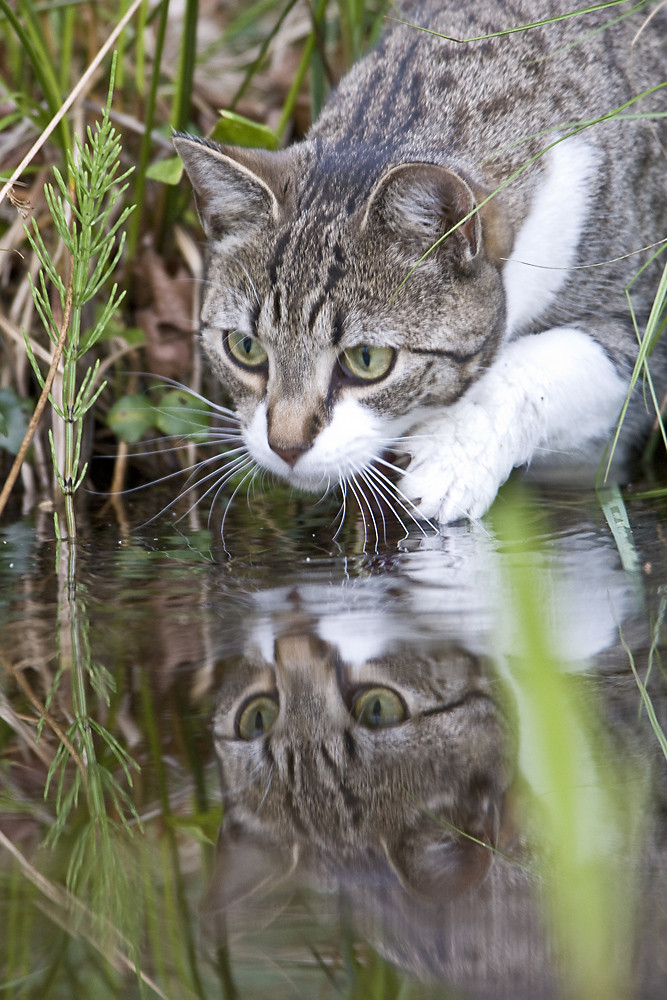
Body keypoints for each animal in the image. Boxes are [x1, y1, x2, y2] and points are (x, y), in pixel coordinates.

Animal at [174, 0, 667, 528]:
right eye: (244, 348)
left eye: (367, 359)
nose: (285, 447)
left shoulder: (647, 317)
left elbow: (549, 360)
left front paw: (454, 458)